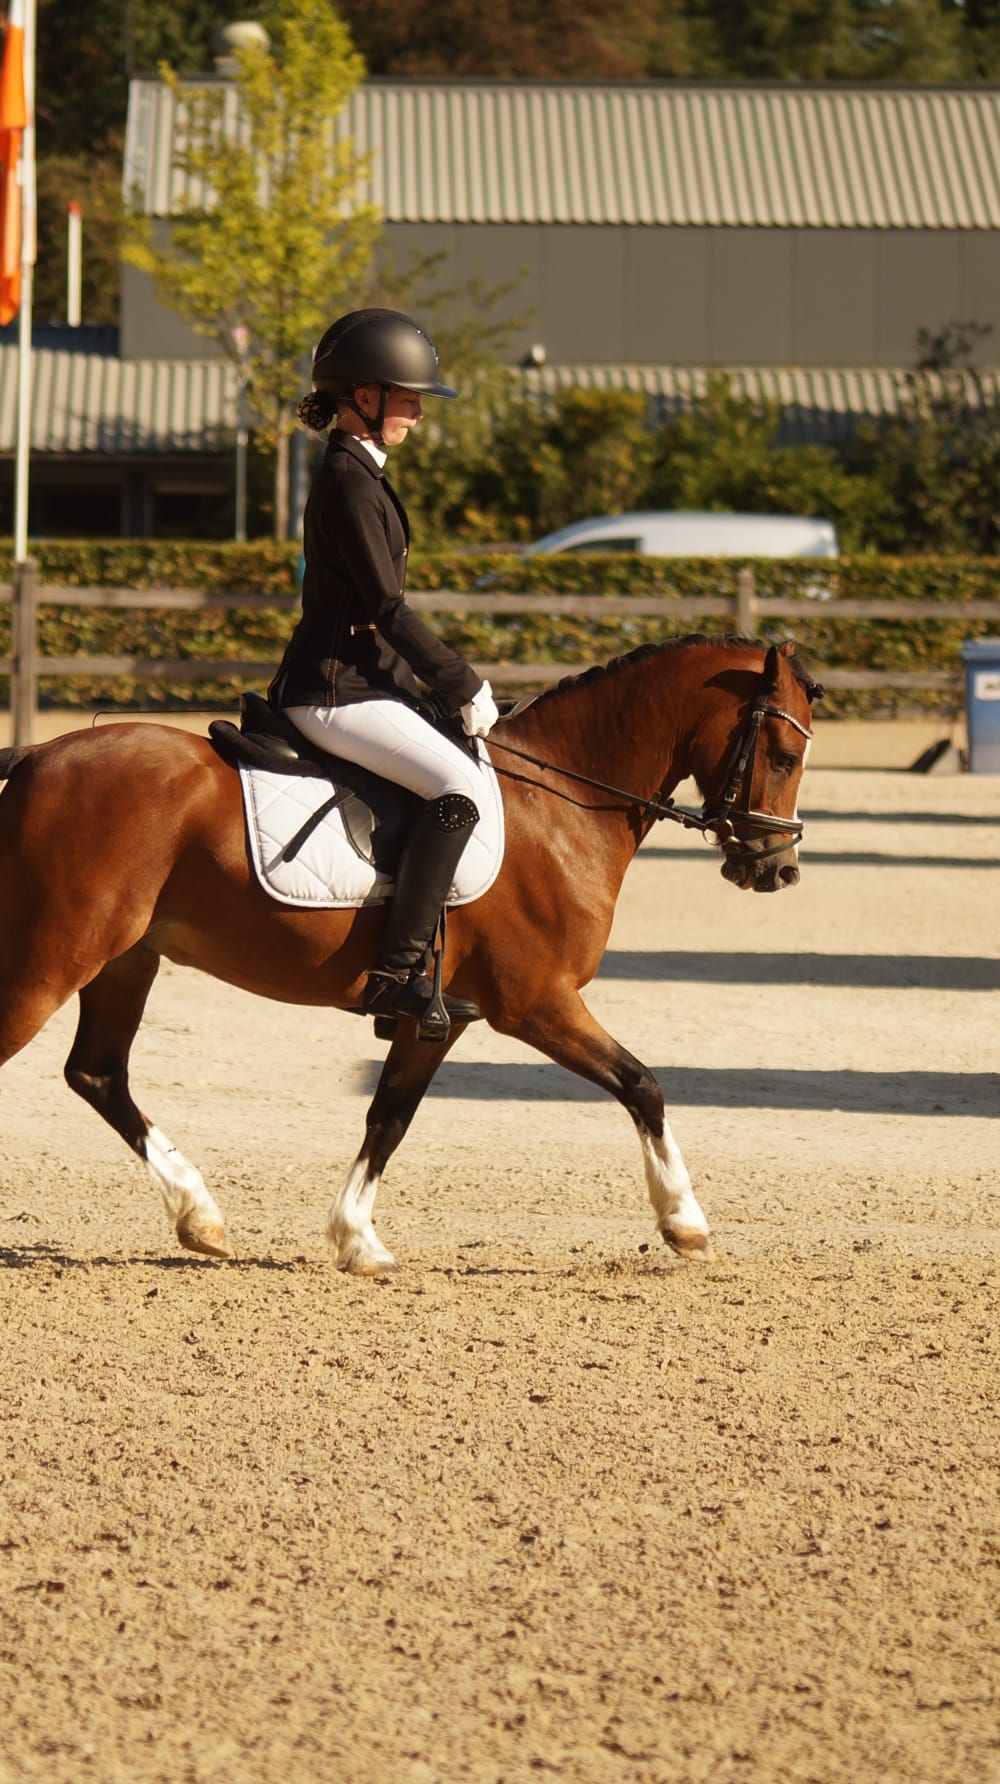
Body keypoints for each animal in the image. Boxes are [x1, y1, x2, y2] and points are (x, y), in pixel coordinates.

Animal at [0, 634, 821, 1273]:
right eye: (782, 756)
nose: (779, 869)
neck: (557, 808)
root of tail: (39, 756)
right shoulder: (536, 1002)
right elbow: (642, 1084)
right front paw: (686, 1224)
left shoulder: (442, 1017)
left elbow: (389, 1116)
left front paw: (356, 1239)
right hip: (54, 957)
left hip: (123, 959)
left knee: (97, 1074)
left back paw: (200, 1217)